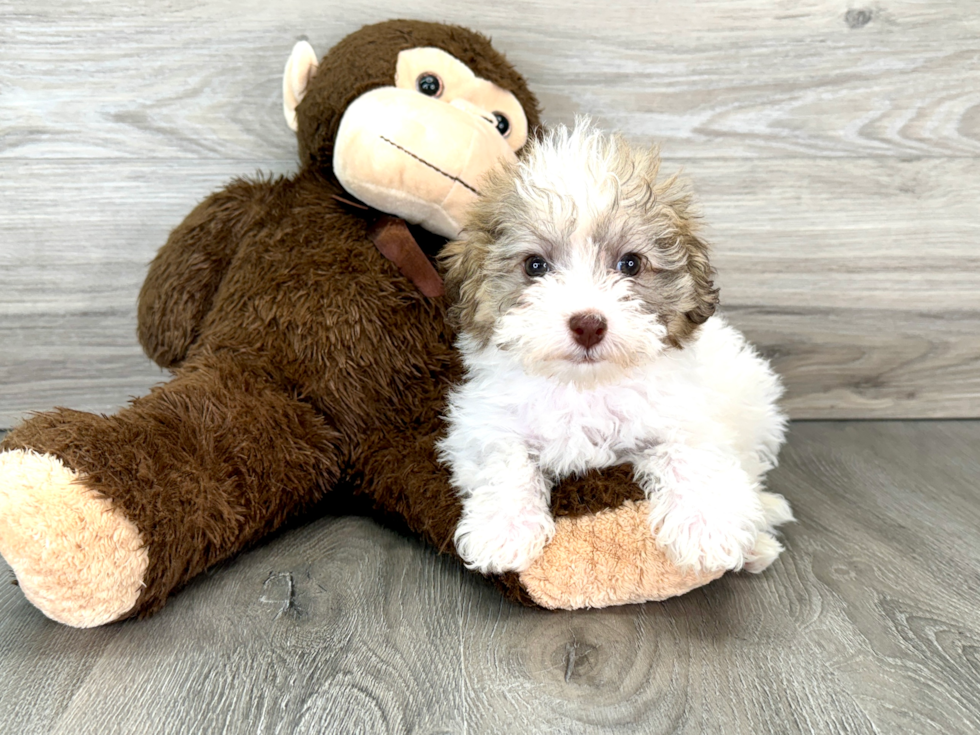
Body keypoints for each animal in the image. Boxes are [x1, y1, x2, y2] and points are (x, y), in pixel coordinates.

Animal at [440, 121, 792, 576]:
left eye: (630, 264)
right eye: (535, 266)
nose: (588, 324)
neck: (586, 385)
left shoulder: (689, 413)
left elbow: (691, 451)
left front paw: (705, 525)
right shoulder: (480, 423)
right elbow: (504, 455)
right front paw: (504, 528)